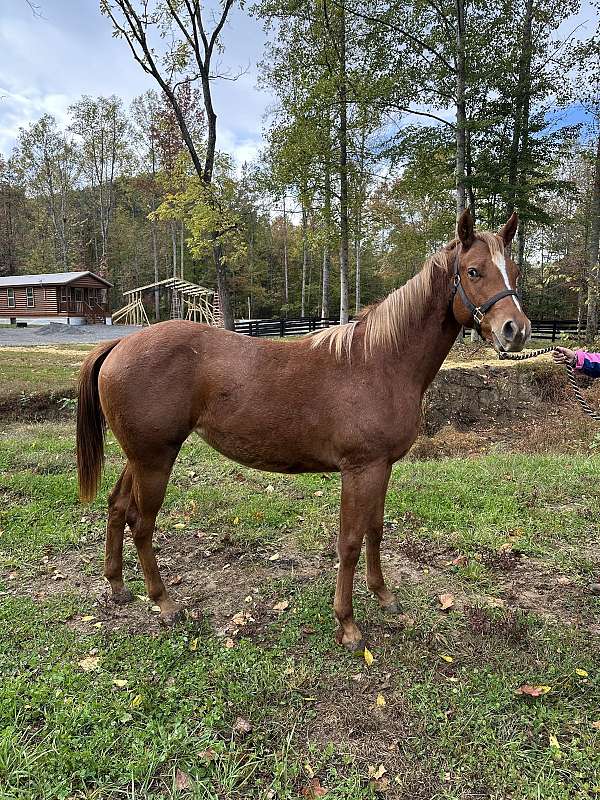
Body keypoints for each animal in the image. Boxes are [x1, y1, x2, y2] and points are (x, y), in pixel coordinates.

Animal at [76, 211, 528, 648]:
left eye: (514, 271)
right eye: (473, 271)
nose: (516, 330)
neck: (380, 361)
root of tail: (119, 345)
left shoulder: (382, 467)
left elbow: (375, 531)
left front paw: (384, 596)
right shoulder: (360, 470)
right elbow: (350, 542)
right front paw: (347, 625)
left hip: (140, 457)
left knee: (117, 507)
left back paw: (117, 586)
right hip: (155, 459)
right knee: (141, 523)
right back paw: (165, 602)